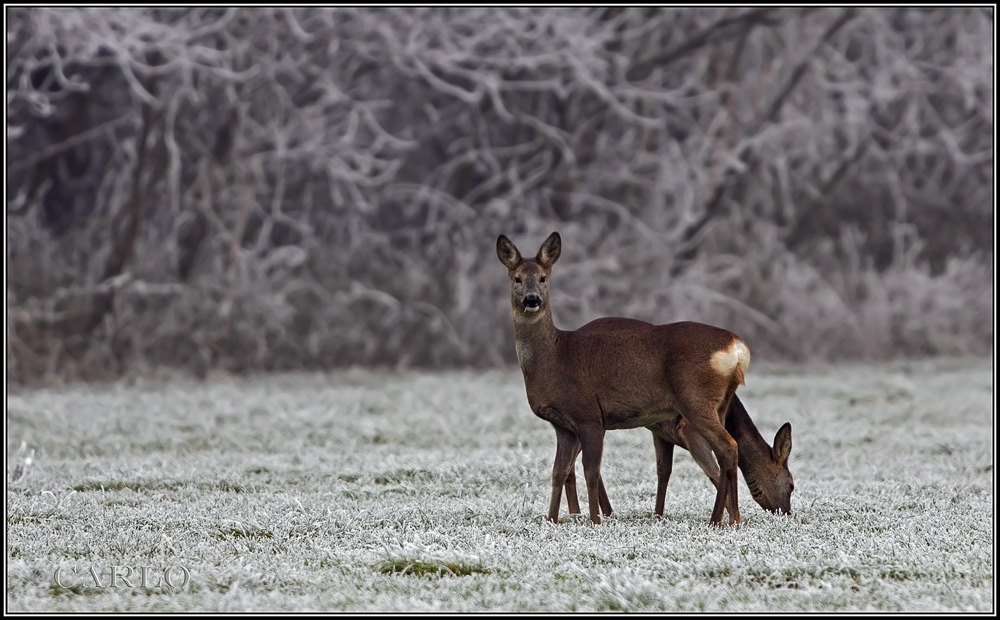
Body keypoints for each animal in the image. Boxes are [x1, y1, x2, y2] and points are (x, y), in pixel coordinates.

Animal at [496, 230, 792, 524]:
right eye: (517, 278)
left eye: (543, 278)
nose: (531, 299)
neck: (554, 357)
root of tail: (737, 347)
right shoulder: (565, 426)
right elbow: (559, 471)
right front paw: (552, 520)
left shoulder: (588, 414)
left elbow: (591, 470)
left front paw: (595, 521)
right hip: (719, 404)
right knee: (725, 453)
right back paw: (729, 519)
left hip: (695, 400)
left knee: (728, 448)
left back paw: (720, 520)